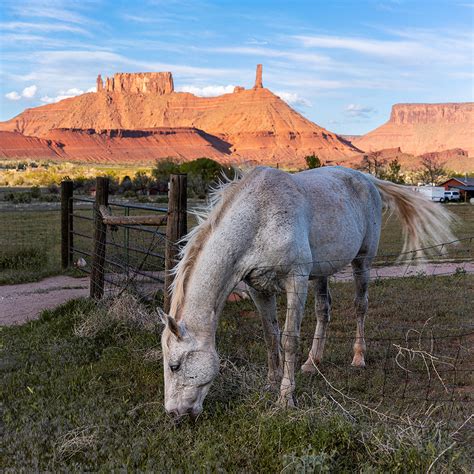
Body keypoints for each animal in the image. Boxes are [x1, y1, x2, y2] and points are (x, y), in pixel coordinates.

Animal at [159, 165, 456, 416]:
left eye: (175, 365)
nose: (174, 414)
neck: (261, 217)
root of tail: (364, 178)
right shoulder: (258, 289)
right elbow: (270, 336)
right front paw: (271, 383)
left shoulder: (296, 280)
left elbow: (289, 339)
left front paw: (285, 398)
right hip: (322, 274)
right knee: (324, 311)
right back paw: (313, 363)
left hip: (362, 262)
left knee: (360, 306)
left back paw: (358, 357)